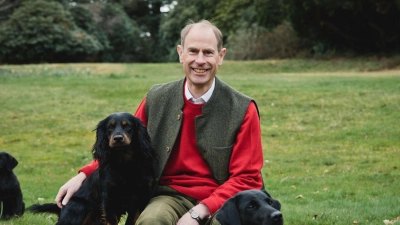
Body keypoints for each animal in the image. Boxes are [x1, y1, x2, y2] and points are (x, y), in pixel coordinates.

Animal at [27, 113, 156, 224]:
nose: (118, 138)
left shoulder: (141, 197)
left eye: (128, 126)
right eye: (110, 127)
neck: (124, 163)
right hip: (79, 207)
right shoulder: (108, 199)